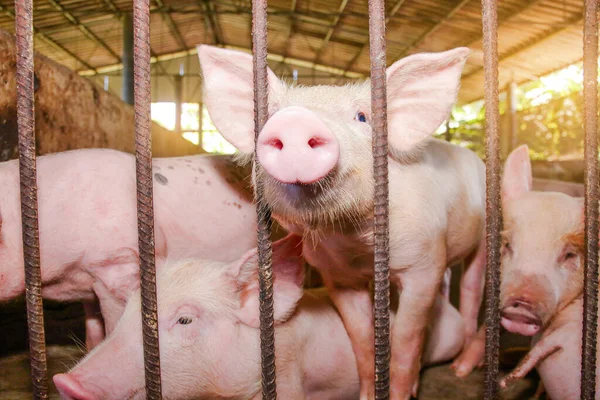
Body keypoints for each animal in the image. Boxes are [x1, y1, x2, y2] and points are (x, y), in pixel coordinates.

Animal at [197, 43, 488, 396]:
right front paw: (367, 393)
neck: (353, 242)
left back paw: (461, 369)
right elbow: (362, 342)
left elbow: (406, 342)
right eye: (271, 113)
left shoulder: (424, 261)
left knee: (473, 289)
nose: (295, 120)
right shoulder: (338, 276)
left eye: (362, 117)